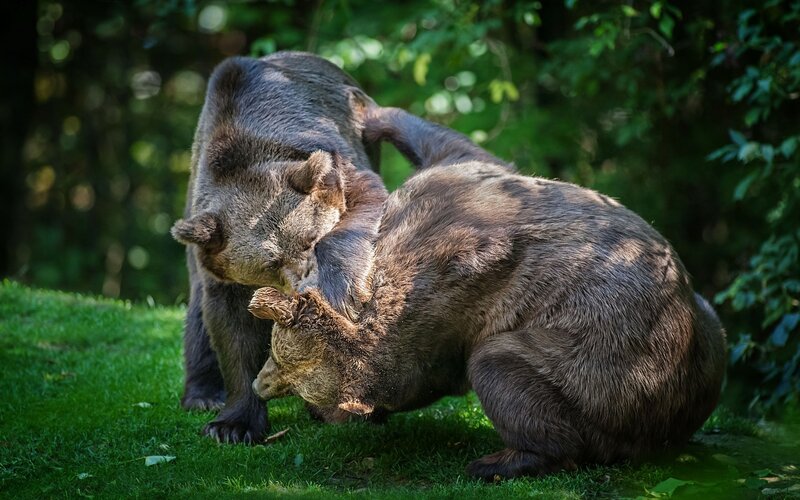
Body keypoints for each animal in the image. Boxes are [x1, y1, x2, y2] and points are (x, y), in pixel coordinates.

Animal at [170, 52, 388, 444]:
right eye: (270, 262)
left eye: (311, 239)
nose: (304, 286)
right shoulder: (219, 263)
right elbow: (231, 328)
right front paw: (233, 425)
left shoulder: (336, 160)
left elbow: (363, 204)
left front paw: (341, 290)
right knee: (196, 316)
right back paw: (203, 395)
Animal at [247, 105, 727, 479]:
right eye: (280, 359)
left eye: (288, 368)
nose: (260, 383)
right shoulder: (464, 182)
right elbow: (460, 148)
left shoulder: (456, 284)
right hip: (704, 329)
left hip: (611, 359)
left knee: (505, 367)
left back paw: (500, 461)